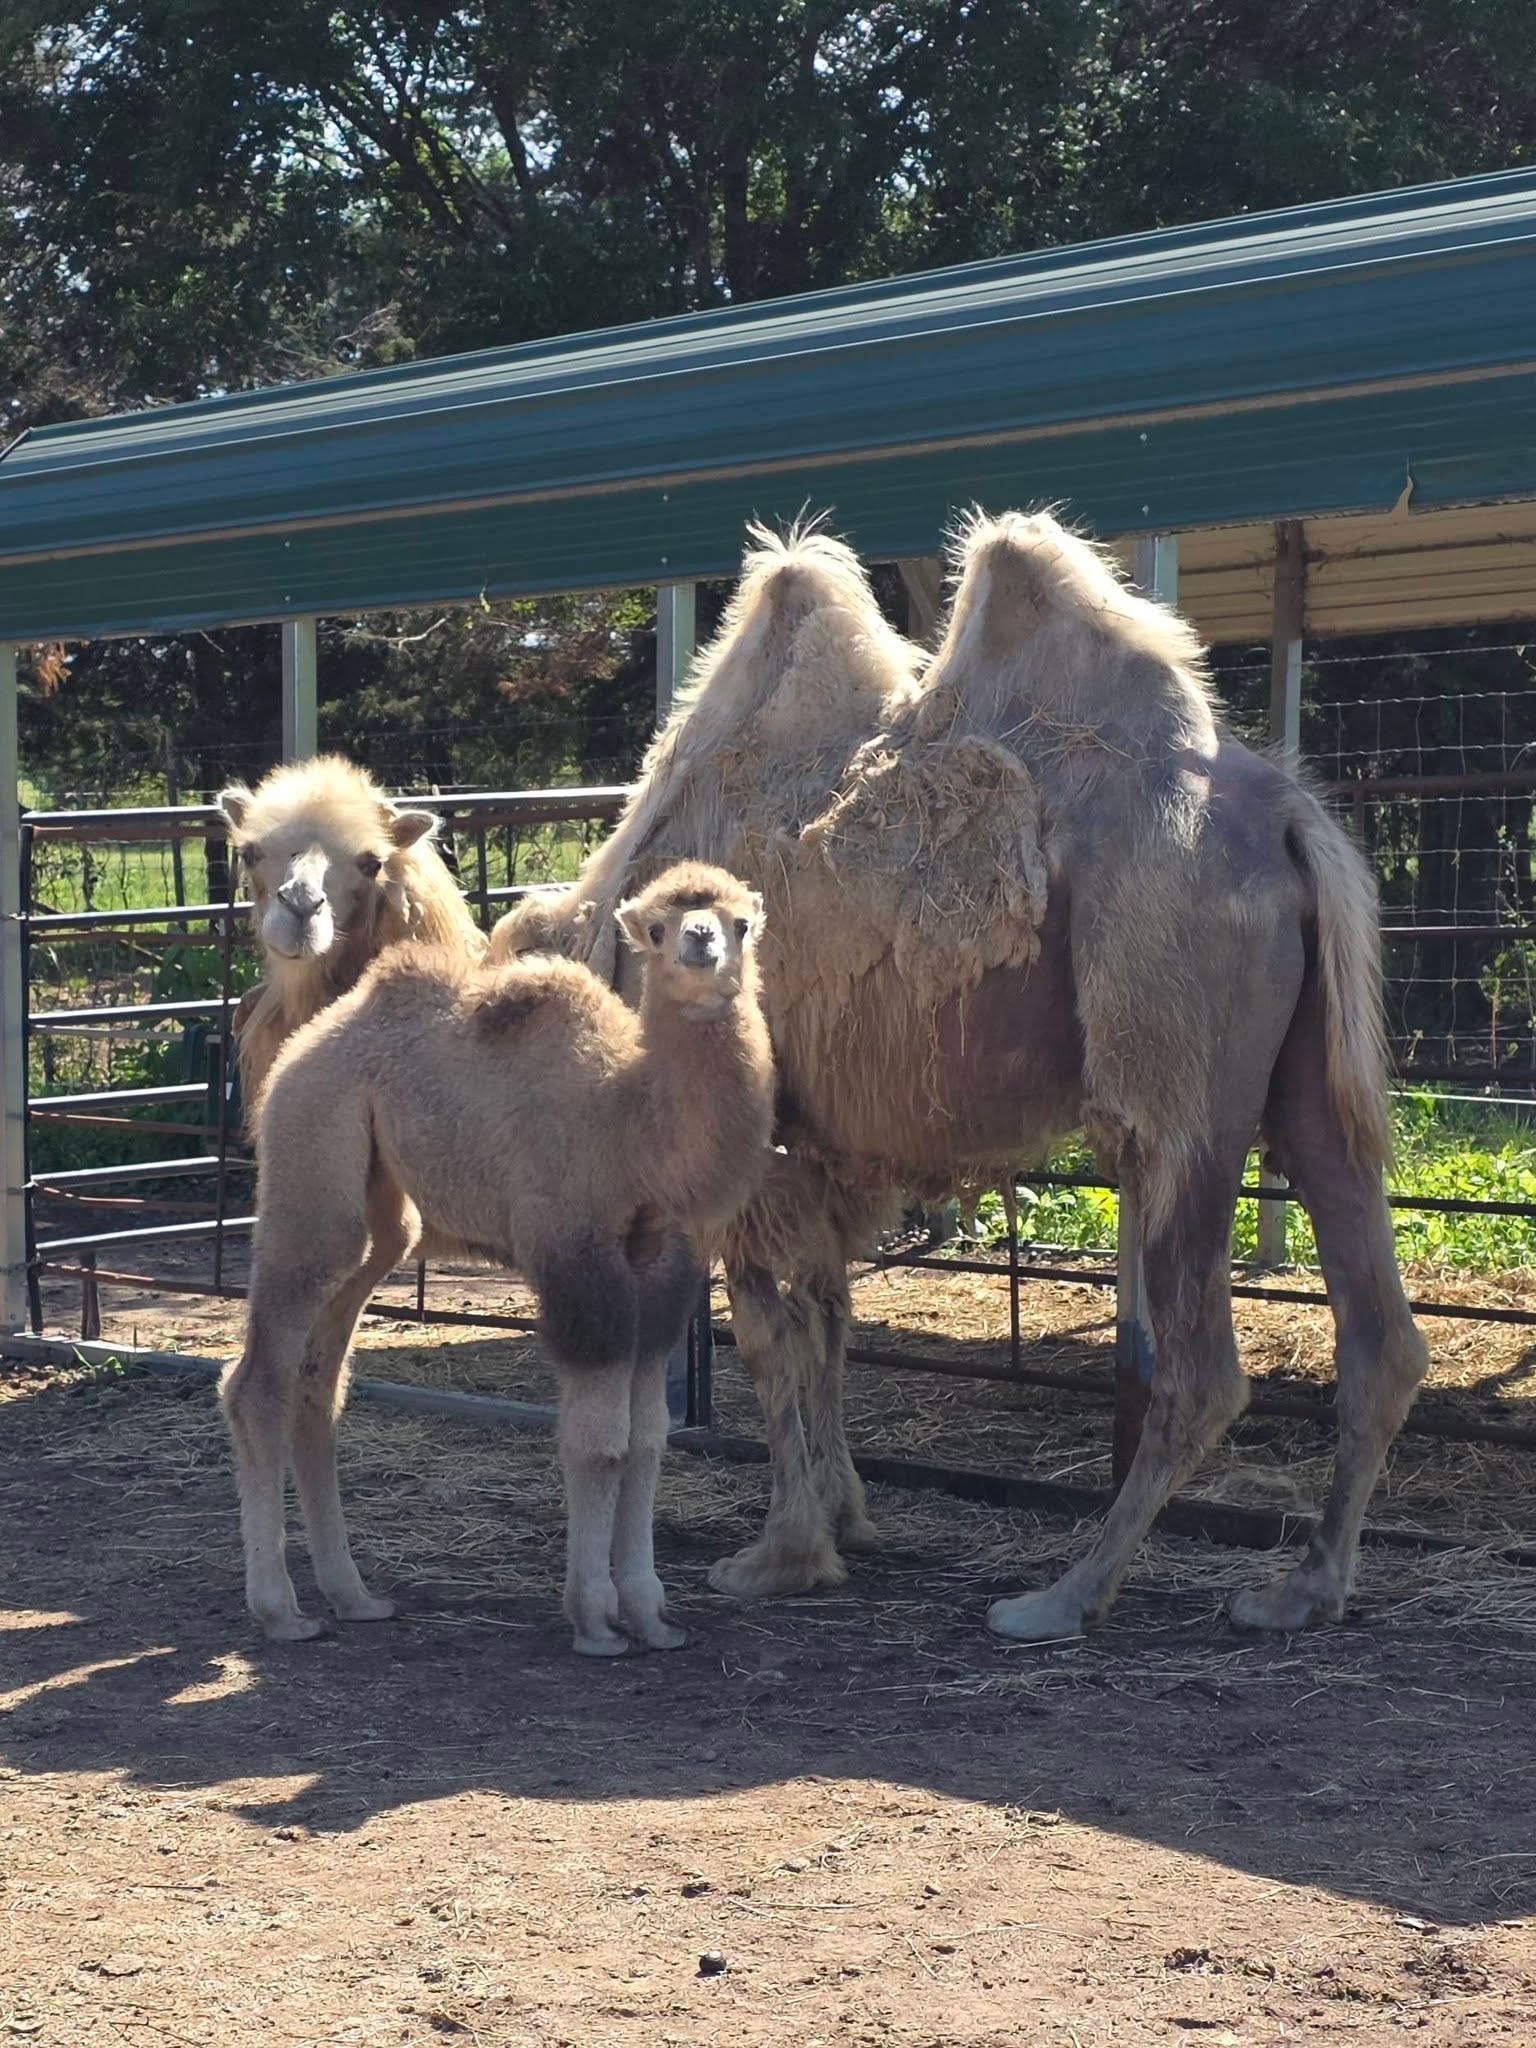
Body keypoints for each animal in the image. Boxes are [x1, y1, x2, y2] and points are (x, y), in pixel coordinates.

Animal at [221, 862, 775, 1655]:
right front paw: (596, 1620)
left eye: (740, 922)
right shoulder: (574, 1256)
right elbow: (599, 1444)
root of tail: (301, 1047)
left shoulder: (664, 1268)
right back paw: (280, 1610)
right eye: (659, 927)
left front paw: (652, 1617)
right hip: (311, 1165)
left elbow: (648, 1442)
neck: (631, 1121)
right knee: (259, 1380)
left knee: (318, 1384)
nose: (700, 942)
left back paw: (353, 1597)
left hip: (383, 1224)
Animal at [491, 513, 1429, 1644]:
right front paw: (844, 1521)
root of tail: (1295, 818)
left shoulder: (754, 1143)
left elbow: (768, 1336)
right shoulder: (821, 1148)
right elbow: (829, 1322)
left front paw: (780, 1556)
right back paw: (1303, 1587)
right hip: (1305, 1076)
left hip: (1178, 1063)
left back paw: (1060, 1596)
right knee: (1378, 1325)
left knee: (1202, 1363)